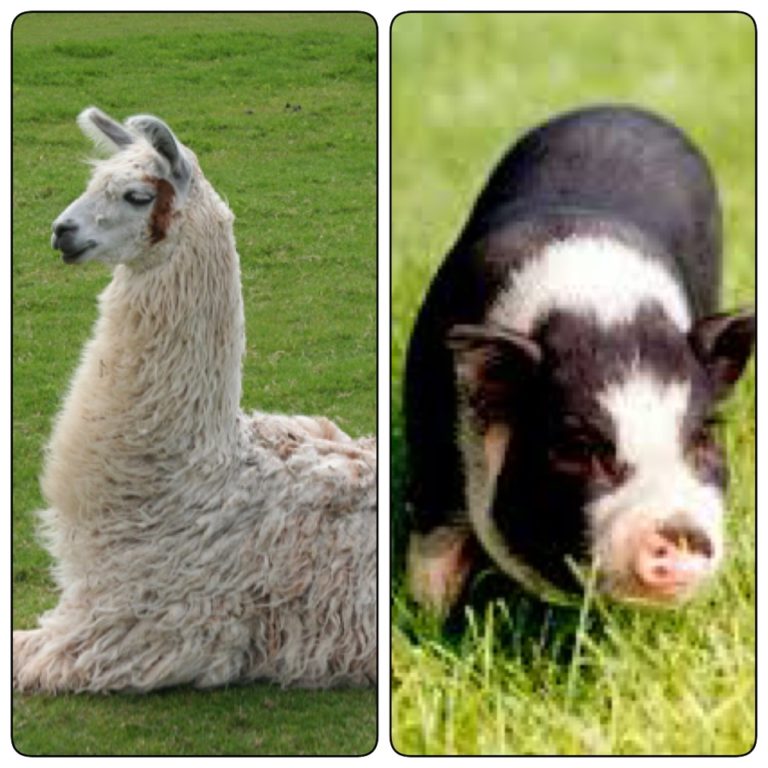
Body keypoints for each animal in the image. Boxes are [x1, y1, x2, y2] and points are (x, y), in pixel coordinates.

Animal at [403, 105, 754, 611]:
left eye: (704, 436)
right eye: (575, 447)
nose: (681, 533)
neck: (603, 311)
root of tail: (622, 108)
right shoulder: (429, 424)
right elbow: (435, 541)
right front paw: (428, 616)